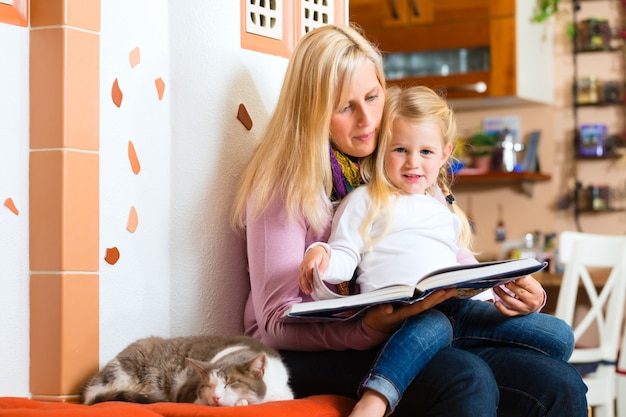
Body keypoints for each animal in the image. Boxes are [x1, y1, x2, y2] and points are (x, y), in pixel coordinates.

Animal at [80, 334, 292, 406]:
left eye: (230, 383)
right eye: (208, 385)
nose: (216, 397)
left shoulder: (284, 392)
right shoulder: (188, 390)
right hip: (129, 363)